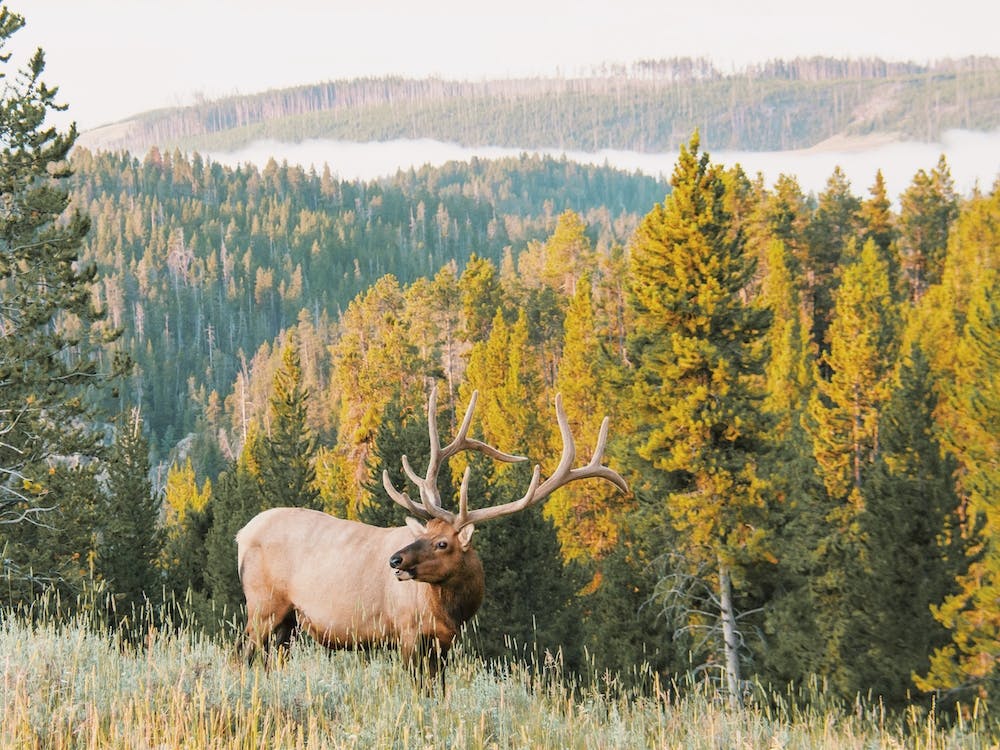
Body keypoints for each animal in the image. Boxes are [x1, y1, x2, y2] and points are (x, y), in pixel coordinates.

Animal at [235, 386, 627, 687]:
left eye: (442, 543)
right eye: (426, 534)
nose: (395, 560)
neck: (451, 611)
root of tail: (241, 534)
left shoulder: (444, 642)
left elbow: (438, 690)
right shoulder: (406, 631)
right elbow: (417, 689)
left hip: (288, 620)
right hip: (262, 604)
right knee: (246, 654)